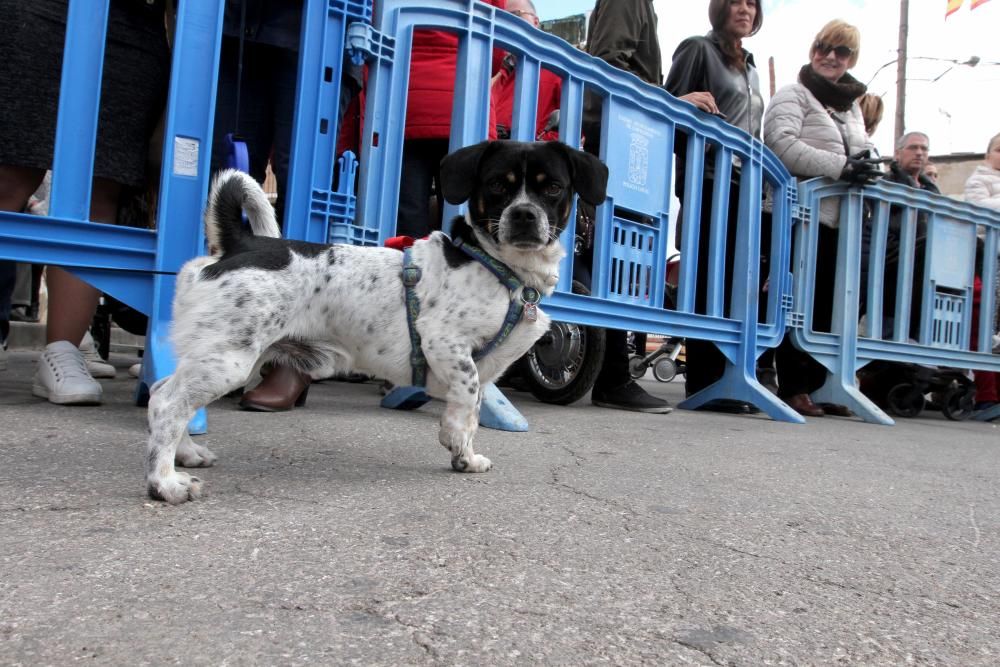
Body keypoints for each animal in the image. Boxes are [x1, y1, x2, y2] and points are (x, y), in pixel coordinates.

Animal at [145, 142, 604, 506]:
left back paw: (186, 454)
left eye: (553, 188)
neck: (498, 268)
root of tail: (239, 245)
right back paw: (165, 483)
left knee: (162, 393)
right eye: (496, 185)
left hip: (222, 356)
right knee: (168, 404)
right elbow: (468, 401)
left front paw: (465, 453)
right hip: (229, 361)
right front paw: (458, 447)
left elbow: (474, 408)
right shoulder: (447, 345)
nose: (524, 214)